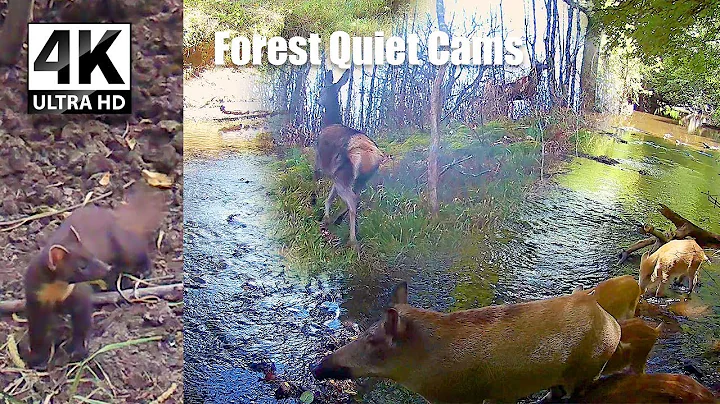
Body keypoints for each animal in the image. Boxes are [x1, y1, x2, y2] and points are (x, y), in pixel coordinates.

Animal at [312, 68, 383, 247]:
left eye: (322, 90)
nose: (317, 100)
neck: (330, 122)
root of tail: (368, 155)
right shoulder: (334, 173)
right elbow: (330, 196)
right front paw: (326, 217)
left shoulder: (318, 160)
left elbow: (315, 180)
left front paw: (314, 203)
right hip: (360, 178)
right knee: (357, 197)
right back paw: (339, 221)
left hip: (344, 173)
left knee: (352, 199)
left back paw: (353, 240)